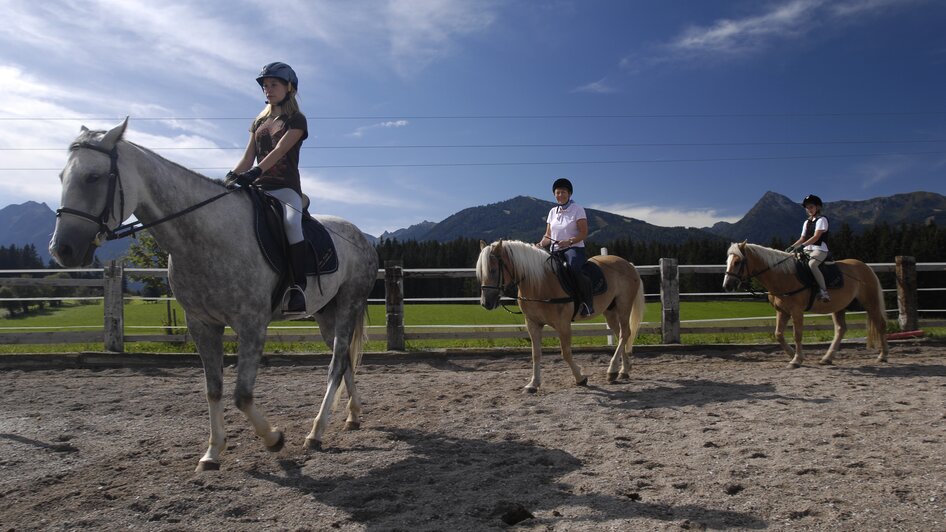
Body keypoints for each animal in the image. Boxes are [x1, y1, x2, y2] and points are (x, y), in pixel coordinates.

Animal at [48, 119, 378, 470]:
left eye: (93, 177)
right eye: (62, 177)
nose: (61, 250)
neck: (205, 235)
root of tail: (360, 237)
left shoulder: (251, 324)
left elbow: (241, 395)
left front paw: (273, 438)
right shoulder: (202, 325)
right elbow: (213, 389)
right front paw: (212, 452)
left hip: (348, 304)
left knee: (335, 366)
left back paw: (316, 433)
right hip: (325, 313)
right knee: (345, 362)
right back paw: (353, 416)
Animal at [476, 239, 644, 392]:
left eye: (493, 270)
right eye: (481, 272)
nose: (486, 303)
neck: (540, 284)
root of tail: (628, 264)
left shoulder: (563, 324)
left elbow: (566, 353)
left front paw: (580, 378)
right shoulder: (532, 324)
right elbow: (536, 354)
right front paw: (533, 384)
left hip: (623, 306)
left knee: (625, 333)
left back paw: (612, 370)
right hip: (609, 311)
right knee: (620, 334)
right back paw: (623, 371)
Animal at [724, 243, 884, 368]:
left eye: (737, 262)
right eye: (728, 261)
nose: (727, 285)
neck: (784, 276)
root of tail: (865, 267)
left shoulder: (796, 311)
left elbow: (797, 334)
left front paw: (797, 359)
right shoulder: (782, 311)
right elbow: (778, 334)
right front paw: (791, 354)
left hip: (870, 302)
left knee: (880, 323)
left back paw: (883, 355)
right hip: (839, 307)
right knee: (840, 329)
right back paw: (827, 358)